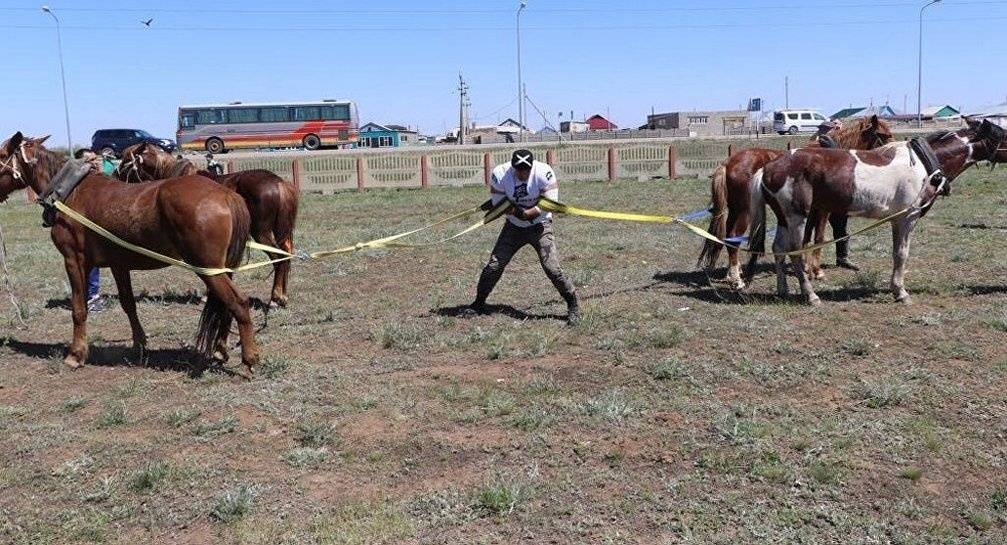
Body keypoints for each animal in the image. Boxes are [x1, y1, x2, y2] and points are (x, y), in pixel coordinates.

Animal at [0, 133, 259, 376]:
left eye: (2, 155)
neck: (71, 193)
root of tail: (227, 194)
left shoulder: (74, 261)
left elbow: (79, 309)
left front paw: (76, 354)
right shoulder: (118, 265)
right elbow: (128, 304)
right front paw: (139, 345)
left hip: (209, 270)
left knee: (237, 302)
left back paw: (249, 359)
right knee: (224, 306)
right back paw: (221, 349)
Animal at [118, 143, 298, 306]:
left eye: (126, 160)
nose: (115, 176)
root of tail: (279, 183)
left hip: (261, 232)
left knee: (279, 258)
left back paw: (275, 298)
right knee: (286, 254)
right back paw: (282, 296)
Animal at [696, 115, 894, 288]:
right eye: (883, 134)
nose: (891, 153)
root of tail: (728, 162)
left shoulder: (811, 211)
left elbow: (806, 237)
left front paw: (807, 266)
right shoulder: (822, 210)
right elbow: (819, 238)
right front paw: (817, 271)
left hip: (735, 210)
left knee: (727, 237)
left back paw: (732, 274)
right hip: (744, 211)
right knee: (734, 238)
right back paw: (737, 280)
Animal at [745, 118, 1002, 304]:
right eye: (1001, 133)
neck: (924, 164)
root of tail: (769, 167)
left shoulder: (897, 220)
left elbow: (897, 253)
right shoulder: (906, 219)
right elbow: (902, 254)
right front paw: (901, 292)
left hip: (784, 218)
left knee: (778, 248)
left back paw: (783, 290)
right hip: (798, 217)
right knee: (796, 253)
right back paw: (810, 296)